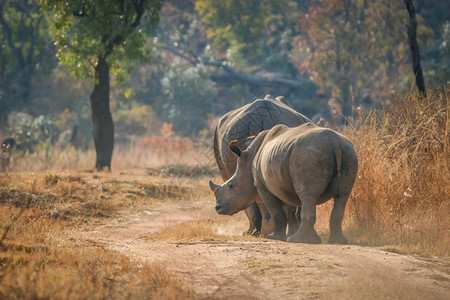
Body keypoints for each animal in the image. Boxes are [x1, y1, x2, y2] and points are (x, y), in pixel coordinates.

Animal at [210, 124, 358, 244]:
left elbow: (277, 212)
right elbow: (292, 210)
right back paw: (337, 241)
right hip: (348, 152)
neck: (249, 158)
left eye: (231, 186)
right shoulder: (284, 181)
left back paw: (297, 240)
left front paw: (275, 237)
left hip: (308, 155)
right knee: (342, 195)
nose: (218, 208)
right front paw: (292, 233)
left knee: (308, 195)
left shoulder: (262, 186)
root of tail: (334, 142)